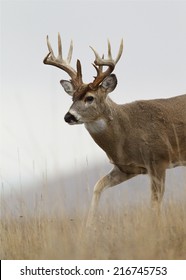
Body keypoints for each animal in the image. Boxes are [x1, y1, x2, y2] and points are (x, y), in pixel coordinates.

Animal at [44, 34, 186, 223]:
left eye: (90, 98)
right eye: (72, 98)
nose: (69, 116)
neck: (126, 134)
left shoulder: (158, 160)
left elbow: (155, 204)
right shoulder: (126, 168)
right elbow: (97, 186)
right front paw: (89, 225)